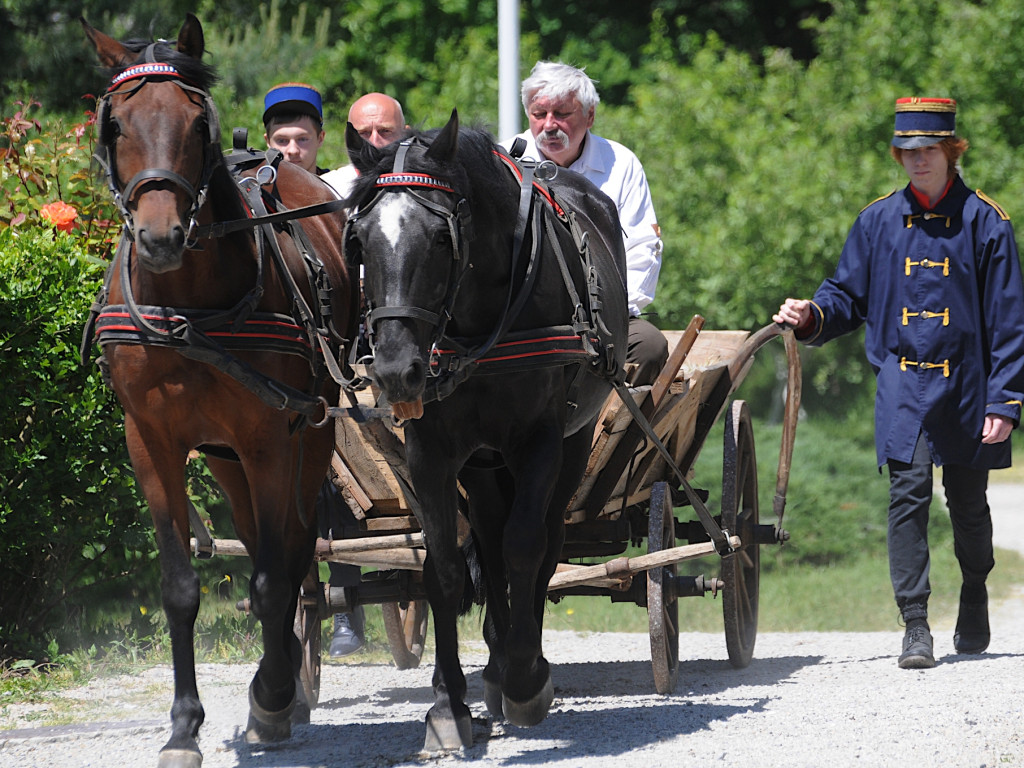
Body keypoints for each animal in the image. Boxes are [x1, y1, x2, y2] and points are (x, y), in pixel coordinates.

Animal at [78, 13, 356, 768]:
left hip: (308, 433)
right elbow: (181, 587)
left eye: (195, 122)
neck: (188, 305)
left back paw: (279, 689)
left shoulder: (270, 437)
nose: (160, 235)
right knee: (268, 547)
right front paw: (183, 726)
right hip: (227, 457)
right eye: (115, 124)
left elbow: (274, 575)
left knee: (291, 551)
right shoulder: (151, 440)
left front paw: (271, 696)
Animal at [344, 114, 626, 753]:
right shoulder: (432, 453)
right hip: (483, 465)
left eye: (439, 238)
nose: (394, 369)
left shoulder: (539, 442)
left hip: (568, 447)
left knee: (541, 543)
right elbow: (445, 570)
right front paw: (449, 705)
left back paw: (519, 665)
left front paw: (525, 680)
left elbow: (525, 547)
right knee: (491, 545)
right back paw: (494, 667)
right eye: (361, 240)